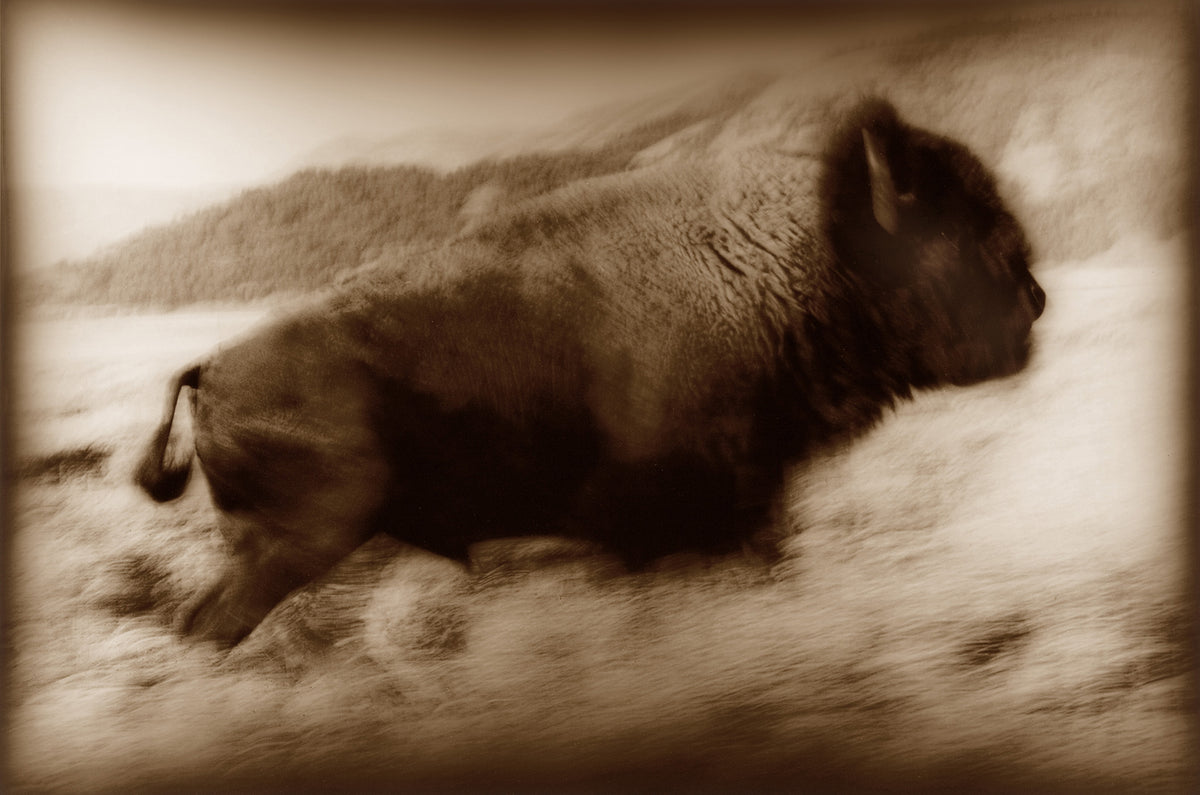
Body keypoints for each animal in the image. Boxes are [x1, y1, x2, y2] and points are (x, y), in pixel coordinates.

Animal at [136, 97, 1045, 646]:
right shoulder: (697, 518)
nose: (1034, 297)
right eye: (962, 233)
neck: (802, 257)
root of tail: (212, 369)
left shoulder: (740, 505)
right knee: (215, 621)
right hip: (297, 540)